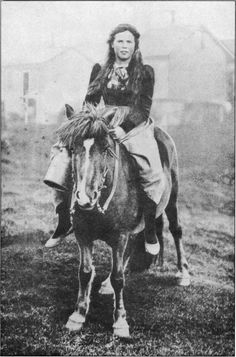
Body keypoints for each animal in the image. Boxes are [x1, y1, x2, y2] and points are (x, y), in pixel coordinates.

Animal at [56, 102, 190, 336]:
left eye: (106, 148)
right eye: (73, 148)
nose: (84, 198)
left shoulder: (119, 236)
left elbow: (119, 278)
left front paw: (120, 321)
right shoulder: (83, 235)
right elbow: (85, 272)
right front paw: (78, 315)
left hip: (172, 196)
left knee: (176, 230)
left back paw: (183, 272)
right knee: (135, 241)